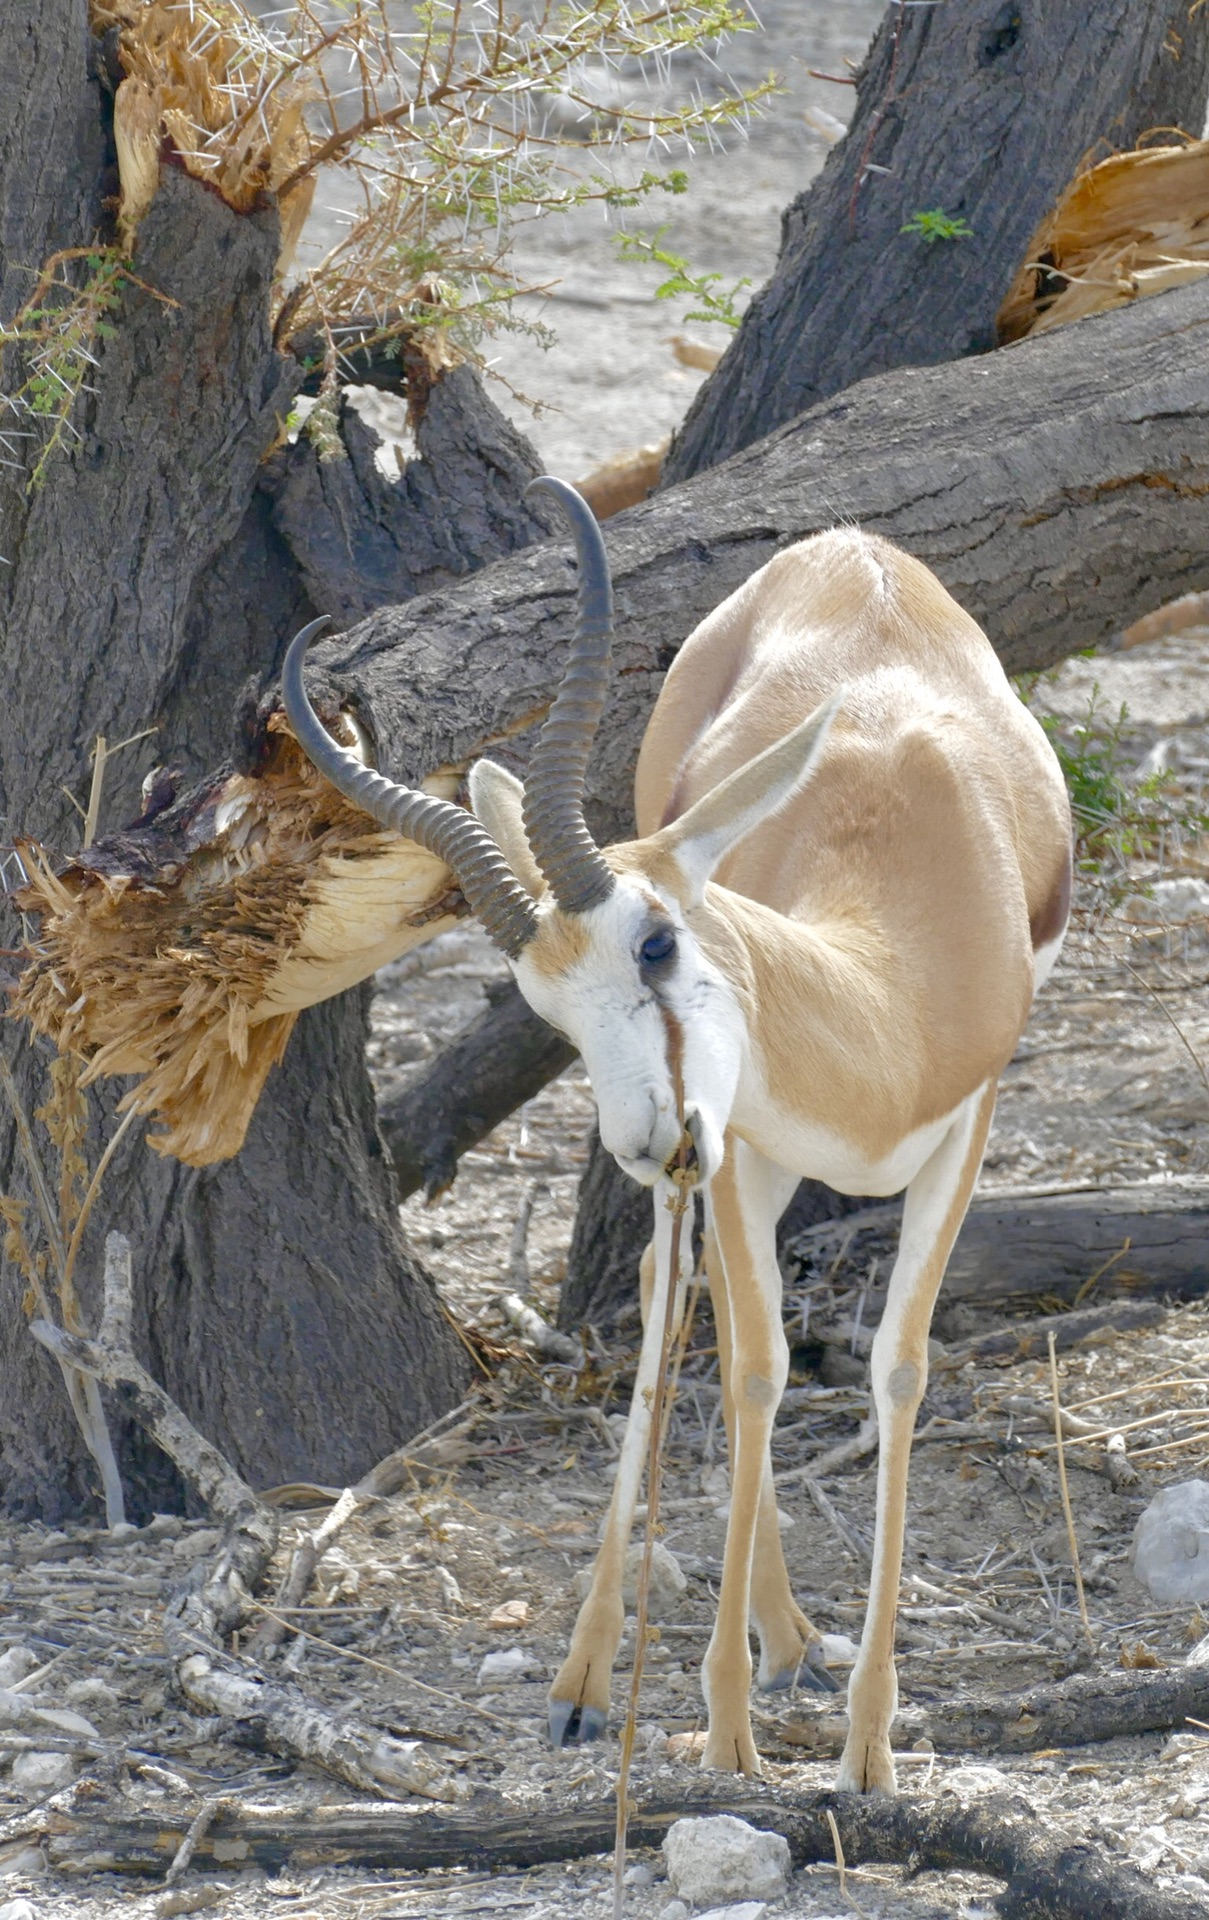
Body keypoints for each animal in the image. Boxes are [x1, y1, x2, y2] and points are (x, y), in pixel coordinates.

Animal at [282, 472, 1066, 1789]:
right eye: (545, 1005)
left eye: (655, 944)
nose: (640, 1142)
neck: (890, 1001)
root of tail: (845, 550)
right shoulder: (741, 1144)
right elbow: (752, 1370)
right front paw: (730, 1732)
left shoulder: (962, 1125)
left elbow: (897, 1371)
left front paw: (866, 1747)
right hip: (719, 1154)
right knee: (676, 1304)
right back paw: (604, 1679)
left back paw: (782, 1643)